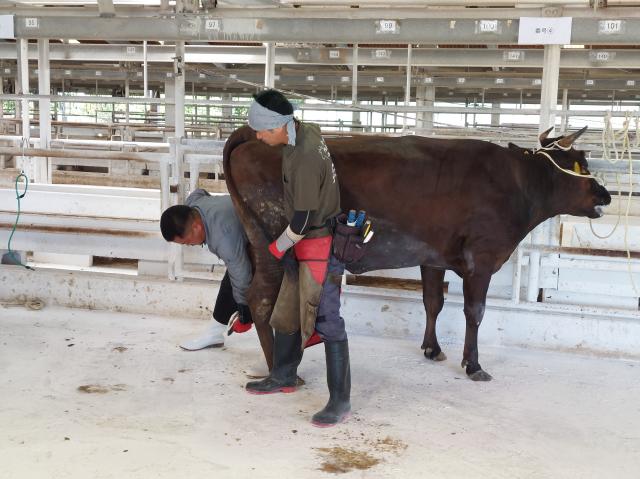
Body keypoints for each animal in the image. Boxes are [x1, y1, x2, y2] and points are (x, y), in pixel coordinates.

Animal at [222, 125, 611, 381]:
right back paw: (278, 369)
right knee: (261, 300)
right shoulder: (482, 260)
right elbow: (475, 312)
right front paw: (473, 364)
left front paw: (432, 348)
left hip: (258, 242)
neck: (517, 183)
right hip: (274, 243)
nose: (605, 194)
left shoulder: (432, 257)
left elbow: (433, 302)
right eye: (579, 164)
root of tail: (255, 138)